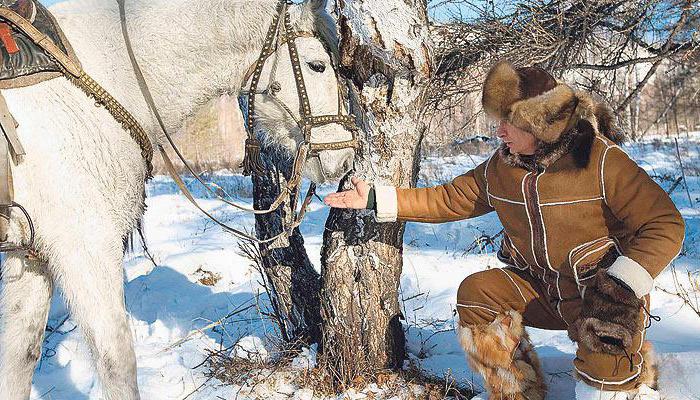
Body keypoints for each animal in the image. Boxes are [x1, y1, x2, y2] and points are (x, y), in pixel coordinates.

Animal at [0, 0, 352, 396]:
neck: (107, 70)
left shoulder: (31, 254)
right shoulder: (85, 246)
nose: (343, 157)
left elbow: (19, 358)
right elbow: (116, 358)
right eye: (317, 65)